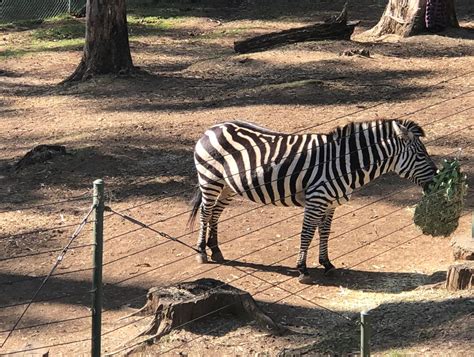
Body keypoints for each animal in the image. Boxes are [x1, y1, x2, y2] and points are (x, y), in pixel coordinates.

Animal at [188, 119, 436, 284]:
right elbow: (307, 234)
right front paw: (302, 269)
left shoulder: (330, 202)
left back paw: (215, 248)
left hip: (228, 186)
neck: (343, 162)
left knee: (215, 213)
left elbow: (324, 233)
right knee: (205, 212)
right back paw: (201, 251)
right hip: (210, 179)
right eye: (421, 155)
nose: (436, 181)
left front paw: (326, 263)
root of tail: (213, 127)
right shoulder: (316, 200)